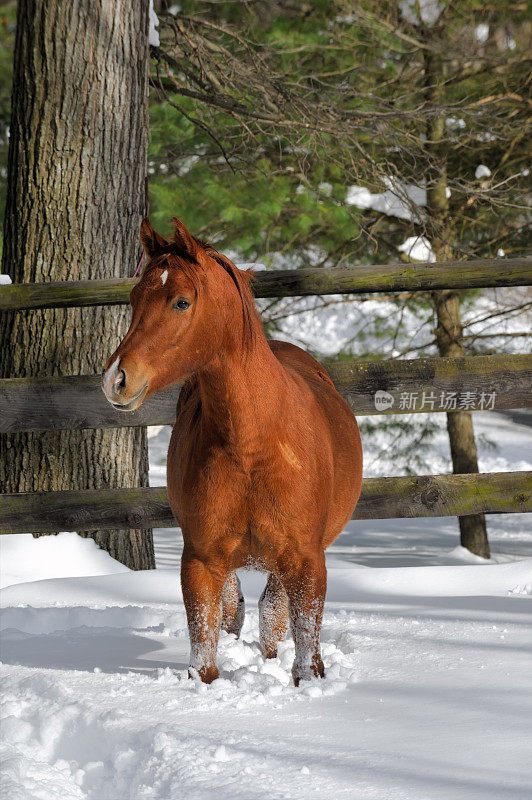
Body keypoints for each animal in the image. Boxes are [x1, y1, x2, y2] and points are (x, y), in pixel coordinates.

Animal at [102, 219, 364, 688]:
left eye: (181, 302)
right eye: (134, 298)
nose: (116, 379)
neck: (252, 447)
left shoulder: (307, 561)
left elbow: (304, 653)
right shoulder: (201, 559)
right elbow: (205, 655)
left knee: (272, 613)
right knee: (236, 608)